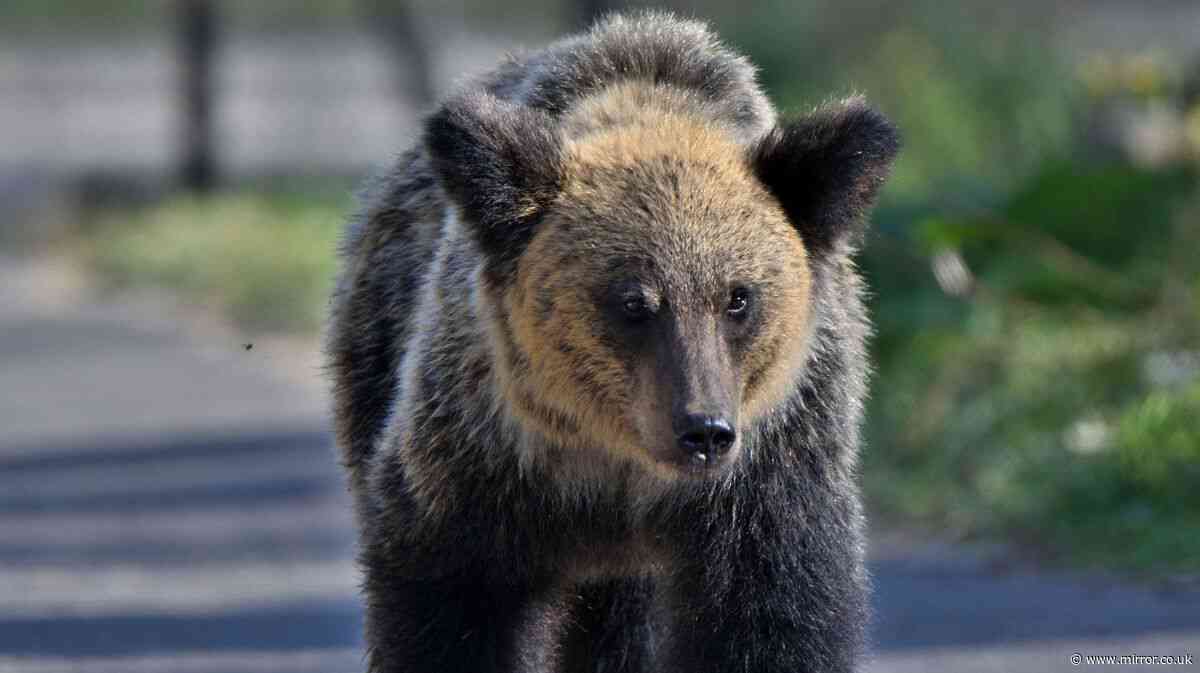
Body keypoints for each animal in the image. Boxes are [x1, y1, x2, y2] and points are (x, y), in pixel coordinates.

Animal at [326, 11, 898, 673]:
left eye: (738, 297)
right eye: (633, 301)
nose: (704, 431)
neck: (618, 468)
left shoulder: (767, 480)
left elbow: (768, 618)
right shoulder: (477, 468)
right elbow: (449, 606)